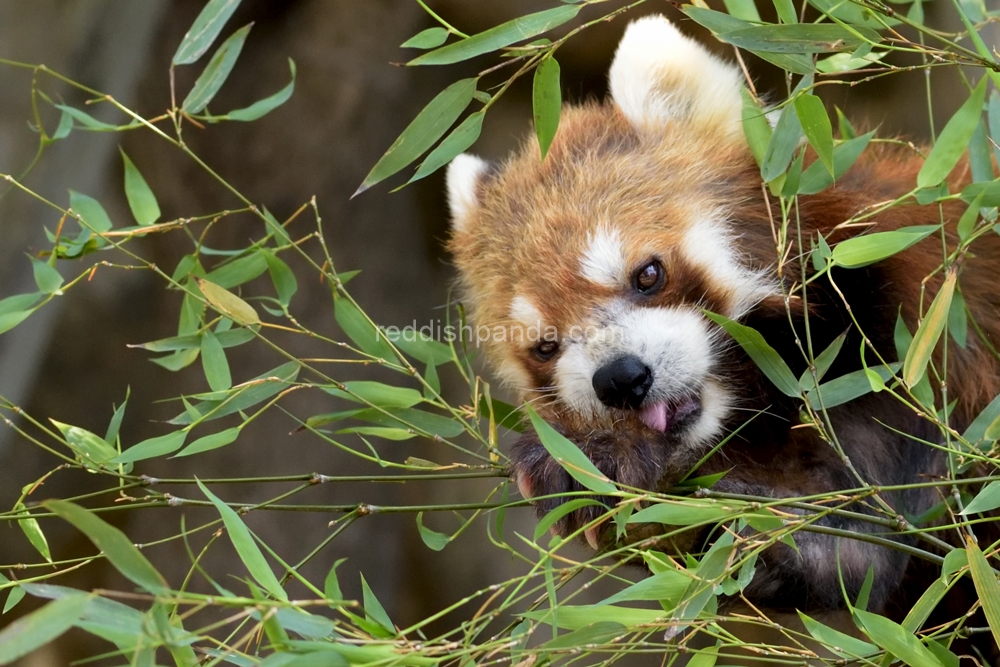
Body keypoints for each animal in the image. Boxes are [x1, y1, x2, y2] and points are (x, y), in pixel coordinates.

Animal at [448, 10, 1000, 644]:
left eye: (649, 274)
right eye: (545, 346)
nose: (620, 379)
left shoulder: (917, 350)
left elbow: (887, 530)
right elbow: (855, 558)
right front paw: (600, 466)